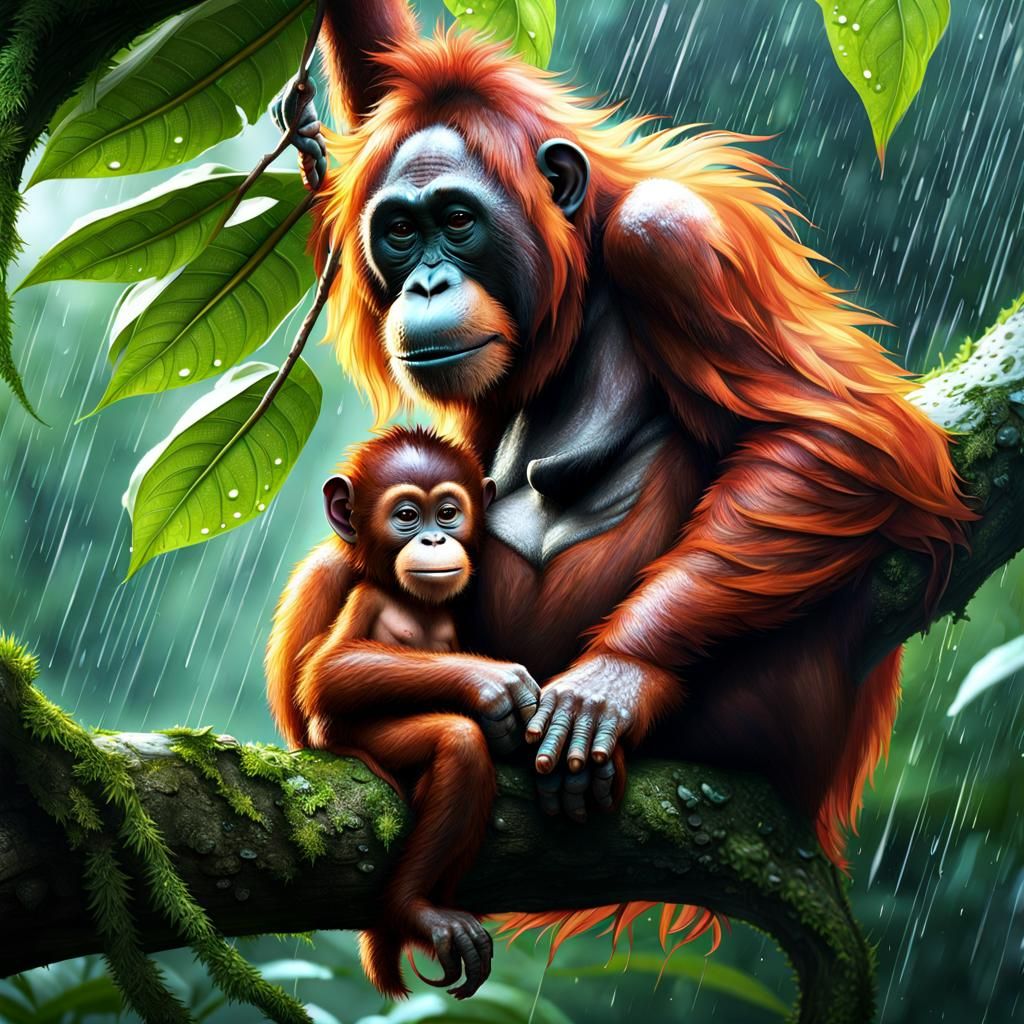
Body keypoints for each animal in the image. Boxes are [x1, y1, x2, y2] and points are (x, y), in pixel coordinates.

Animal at [272, 427, 541, 999]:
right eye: (407, 517)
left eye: (447, 513)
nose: (435, 540)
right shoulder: (339, 580)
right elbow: (326, 672)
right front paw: (493, 684)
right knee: (458, 742)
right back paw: (414, 909)